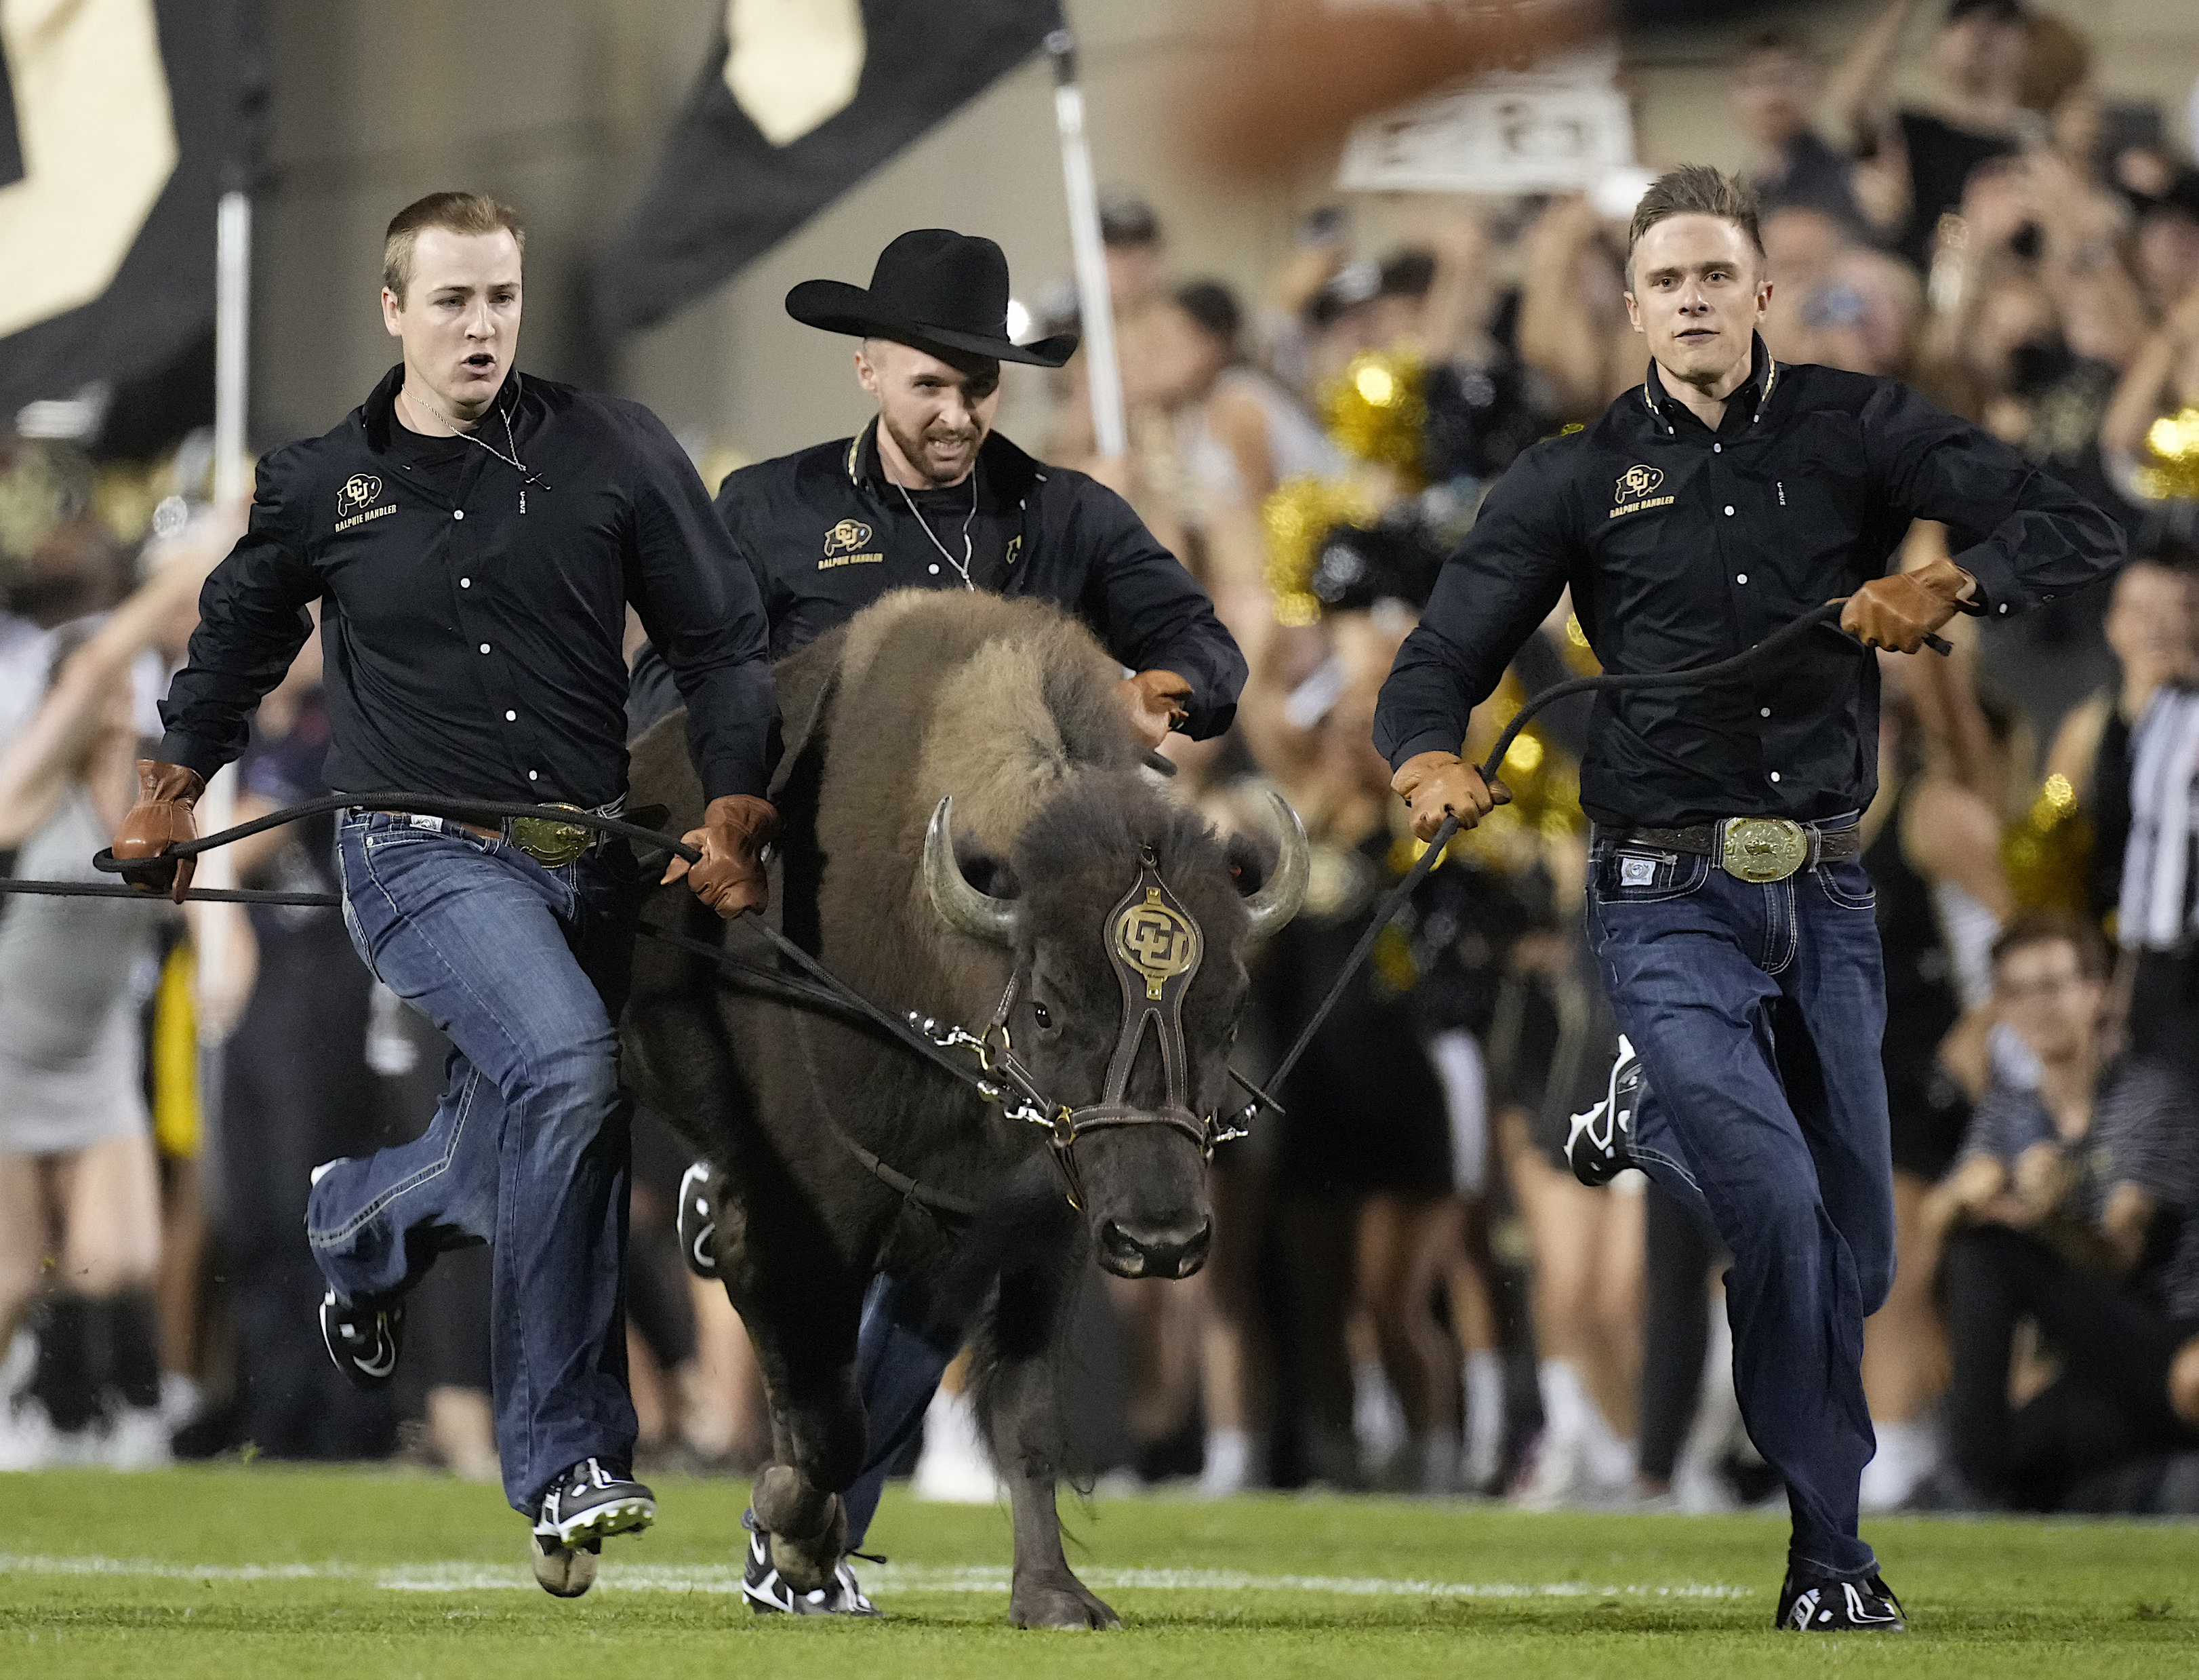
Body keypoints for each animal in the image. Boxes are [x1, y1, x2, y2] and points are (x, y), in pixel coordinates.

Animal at [624, 589, 1302, 1627]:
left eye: (1231, 1009)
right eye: (1047, 1006)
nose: (1161, 1240)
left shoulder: (1043, 1235)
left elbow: (1025, 1420)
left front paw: (1055, 1597)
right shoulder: (814, 1215)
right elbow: (832, 1412)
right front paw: (792, 1529)